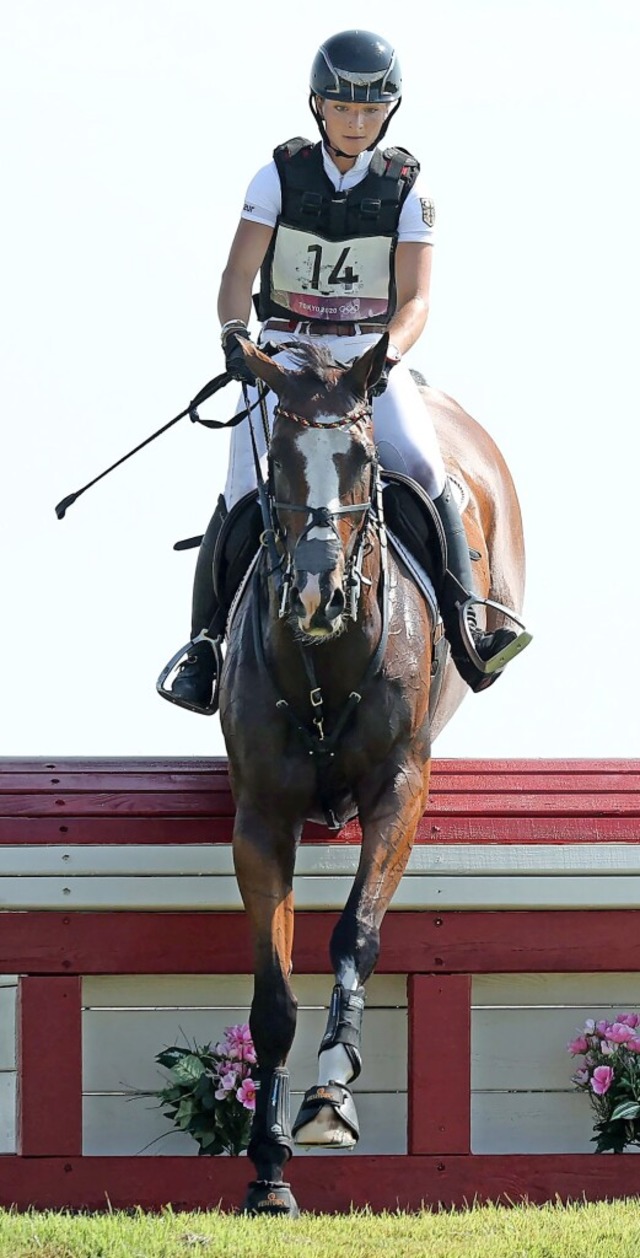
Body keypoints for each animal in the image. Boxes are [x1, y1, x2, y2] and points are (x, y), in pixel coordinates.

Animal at [217, 329, 525, 1212]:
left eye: (358, 457)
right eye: (281, 459)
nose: (317, 595)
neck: (324, 662)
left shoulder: (398, 788)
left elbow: (355, 931)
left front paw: (330, 1097)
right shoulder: (261, 818)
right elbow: (273, 996)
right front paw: (269, 1169)